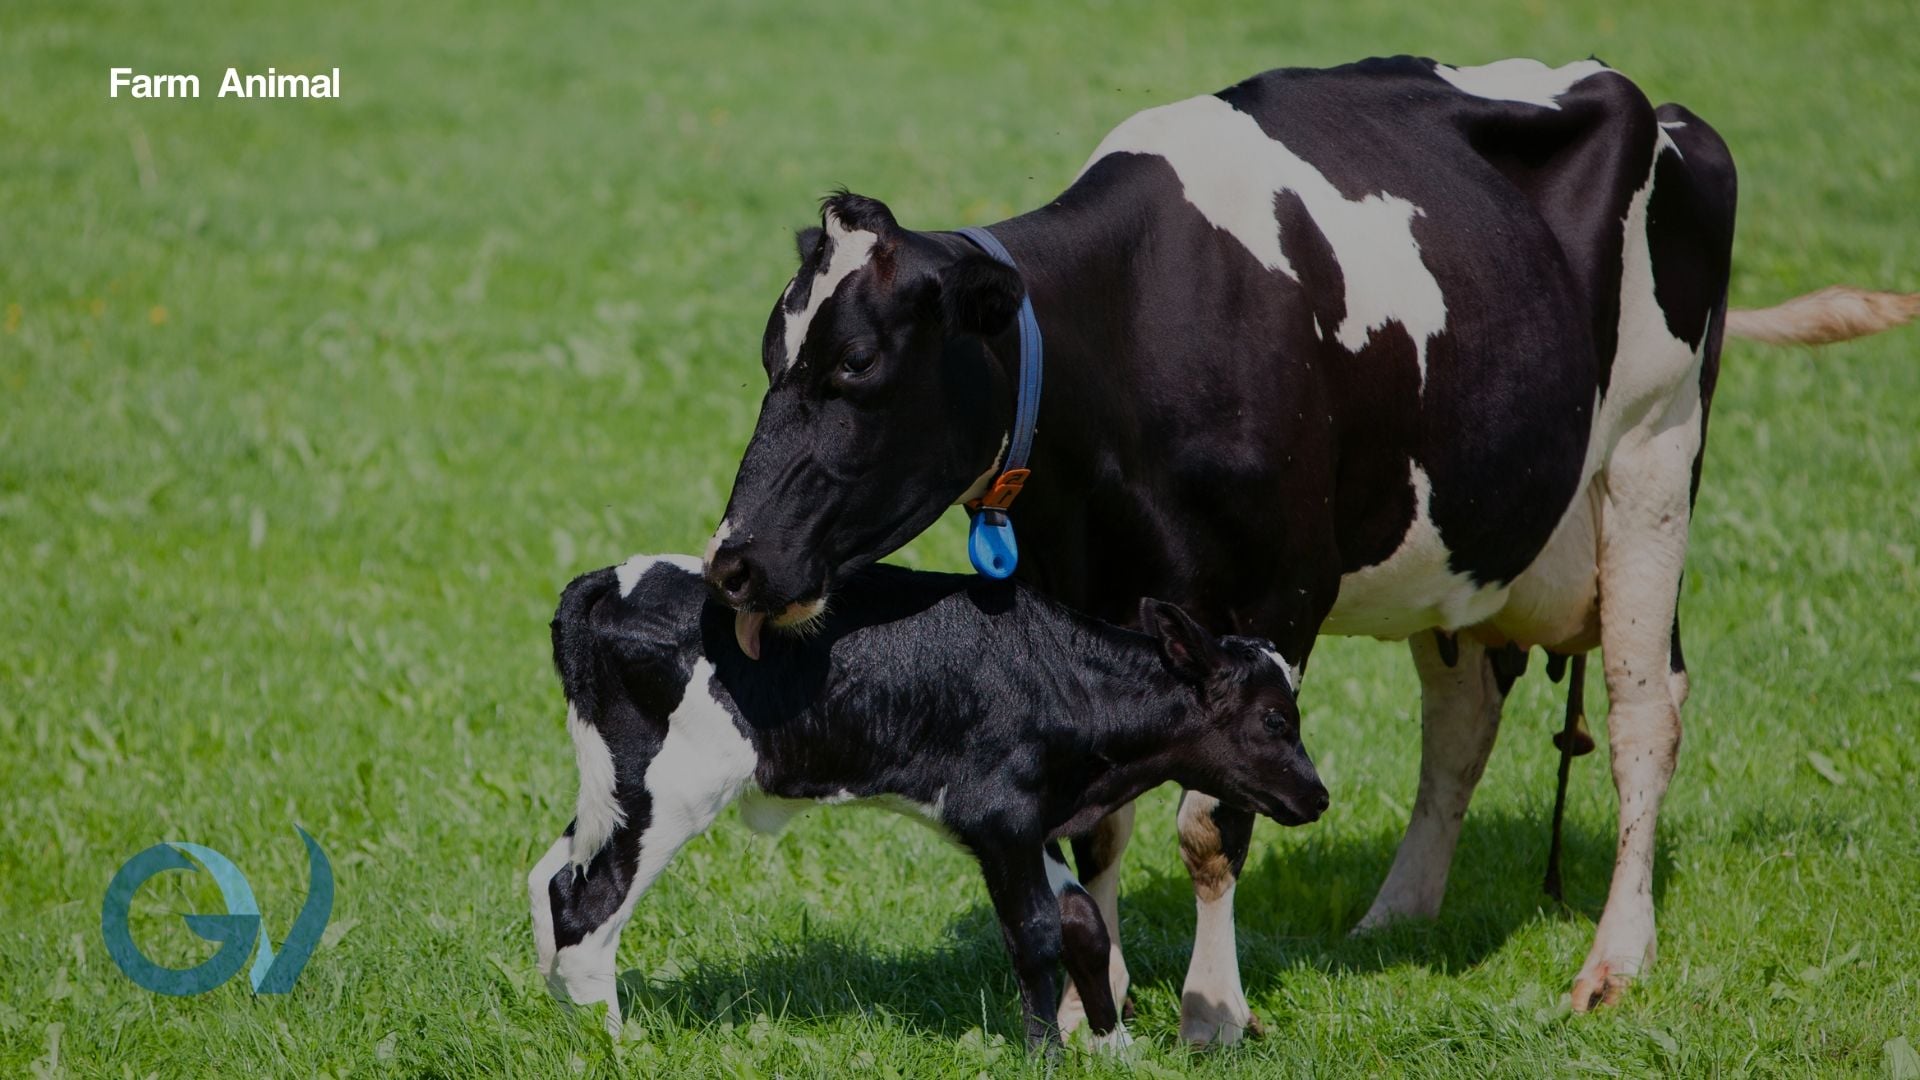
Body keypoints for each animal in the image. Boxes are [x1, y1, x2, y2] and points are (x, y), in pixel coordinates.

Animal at [528, 554, 1328, 1050]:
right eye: (1274, 721)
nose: (1318, 795)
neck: (1063, 676)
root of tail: (608, 583)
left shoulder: (1024, 823)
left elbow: (1084, 923)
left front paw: (1115, 1046)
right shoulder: (1002, 816)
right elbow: (1037, 932)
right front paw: (1050, 1053)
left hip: (616, 785)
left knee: (550, 875)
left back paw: (569, 1027)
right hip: (674, 789)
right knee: (589, 905)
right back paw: (615, 1044)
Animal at [697, 55, 1919, 1042]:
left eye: (856, 366)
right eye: (768, 354)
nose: (734, 564)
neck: (1132, 335)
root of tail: (1662, 108)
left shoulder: (1277, 593)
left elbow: (1208, 824)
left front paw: (1213, 1009)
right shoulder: (1075, 589)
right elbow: (1097, 821)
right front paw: (1106, 1003)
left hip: (1656, 456)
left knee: (1642, 709)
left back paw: (1613, 962)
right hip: (1466, 530)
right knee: (1462, 715)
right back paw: (1395, 915)